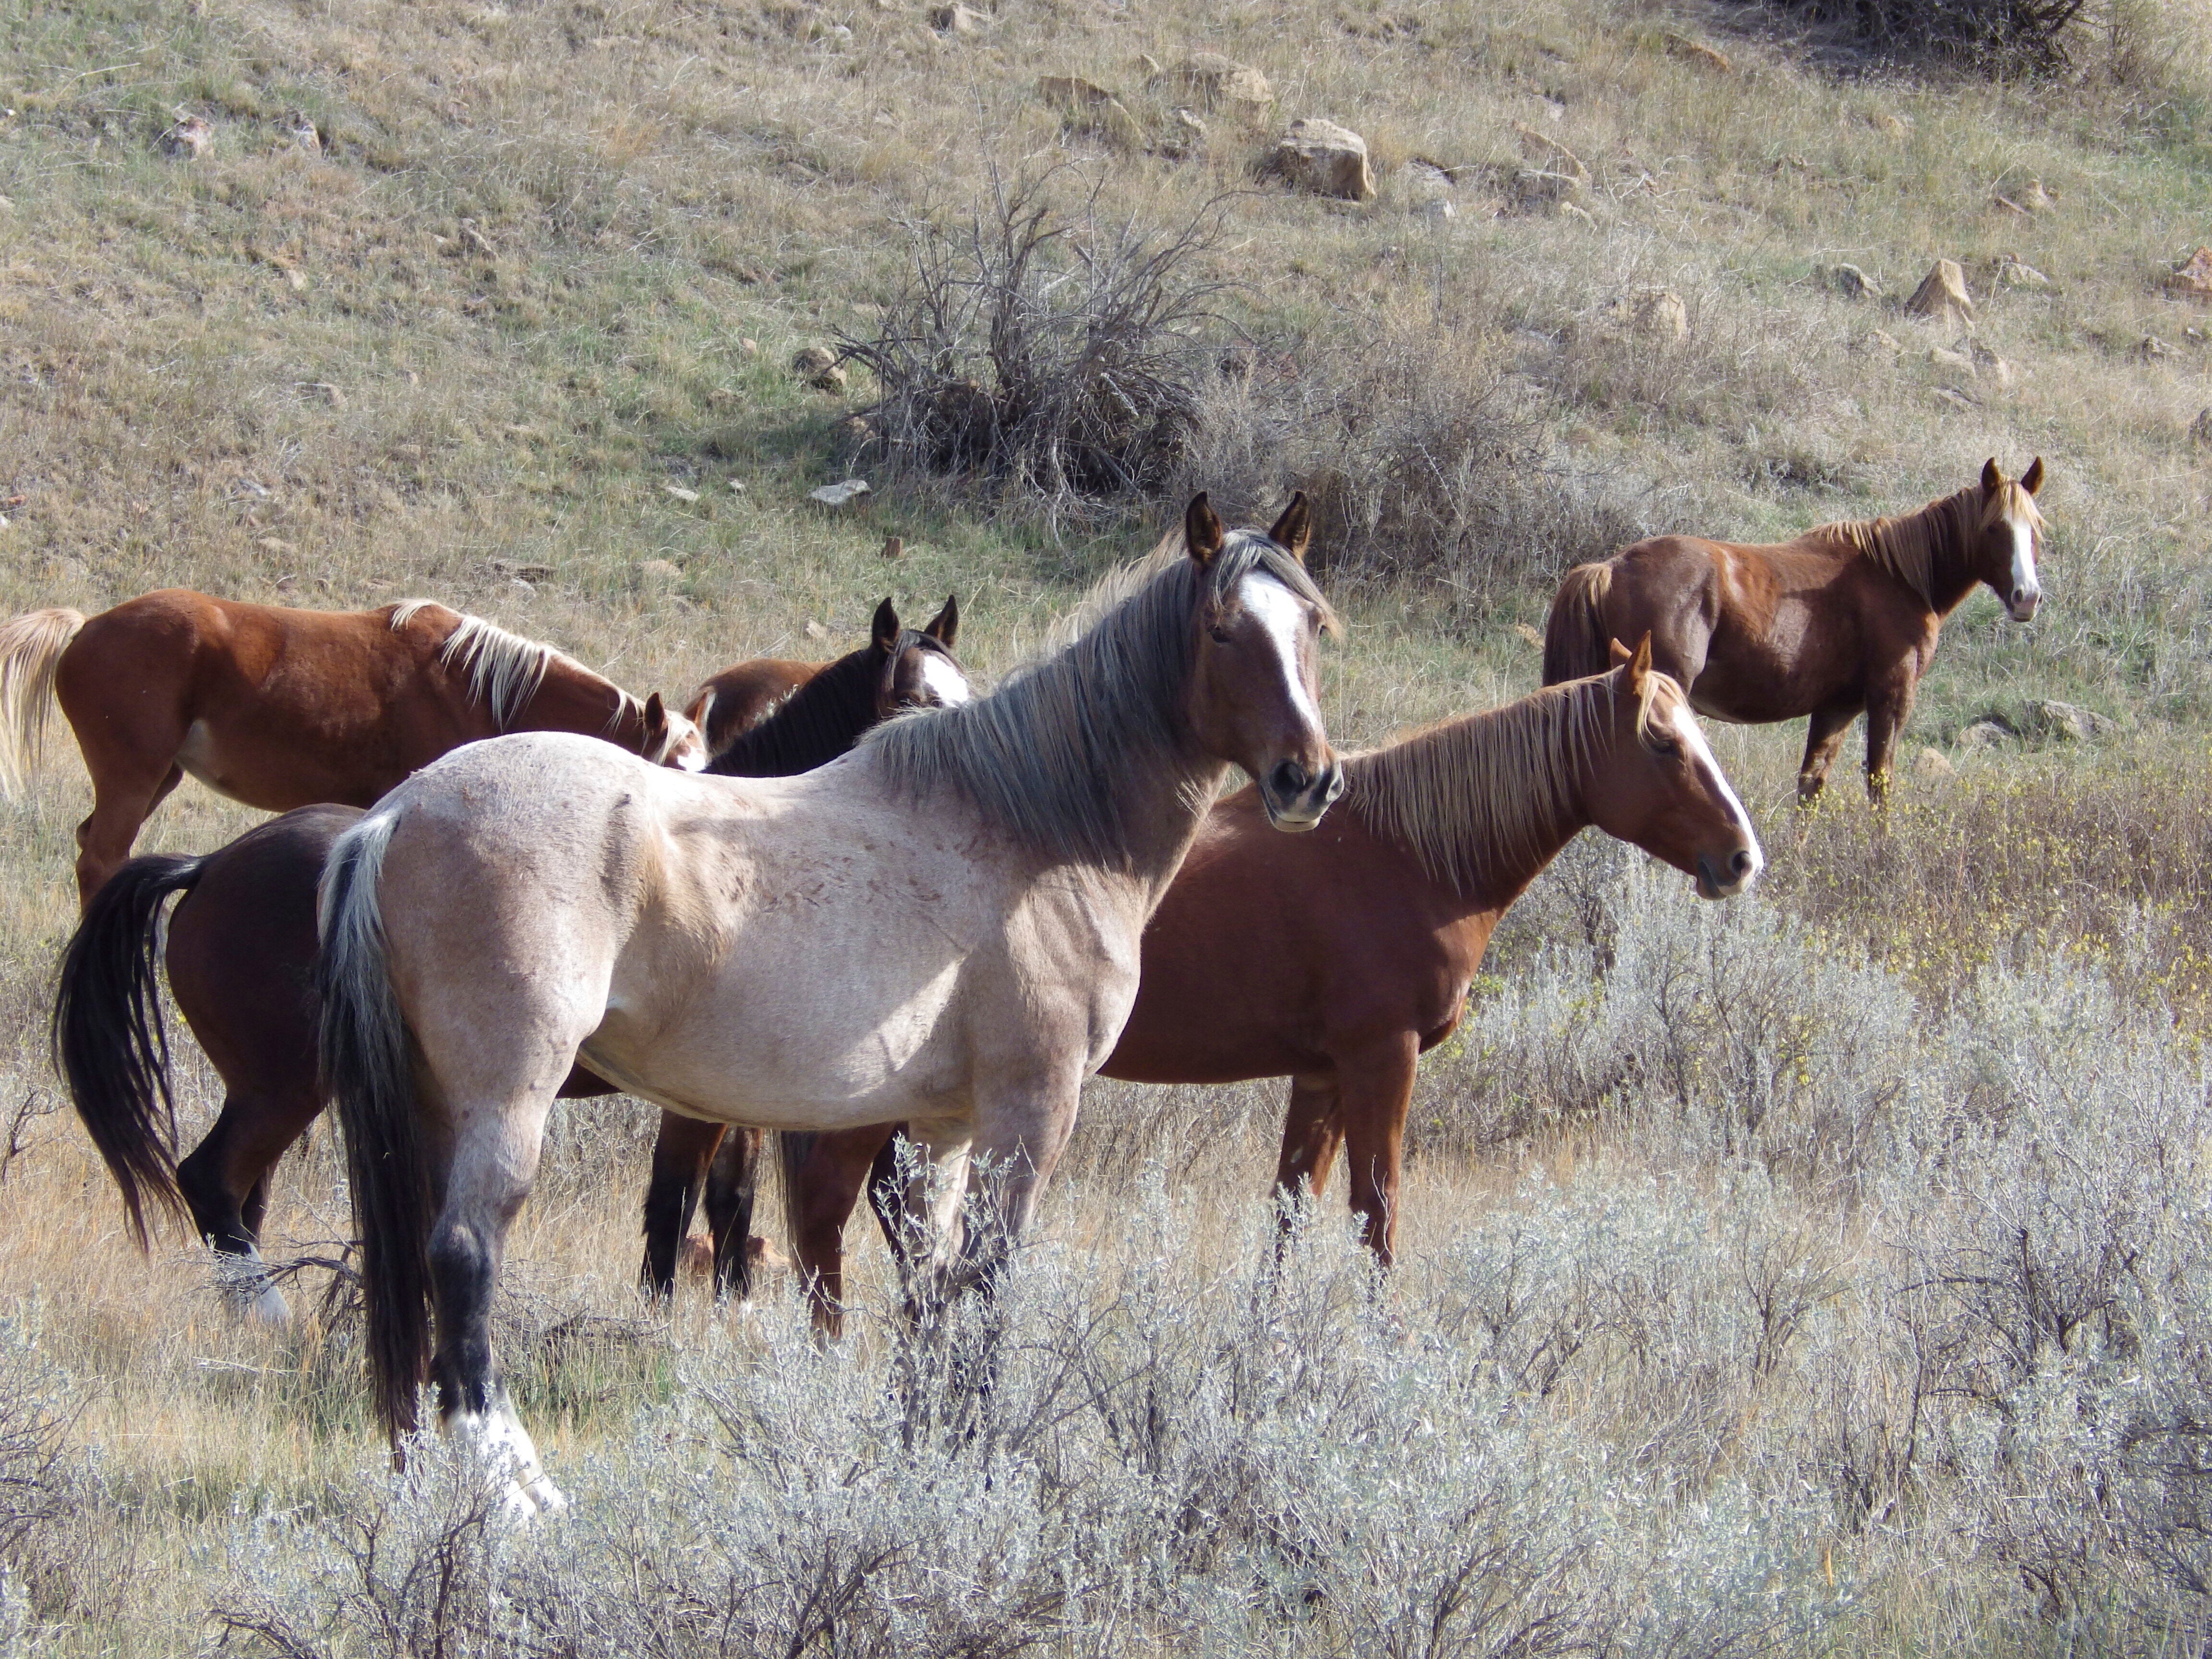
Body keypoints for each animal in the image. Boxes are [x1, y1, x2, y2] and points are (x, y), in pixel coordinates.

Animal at [0, 591, 709, 905]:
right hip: (134, 776)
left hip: (156, 779)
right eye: (668, 773)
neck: (477, 687)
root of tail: (86, 628)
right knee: (101, 858)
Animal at [50, 601, 970, 1323]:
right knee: (210, 1183)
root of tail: (207, 868)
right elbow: (676, 1204)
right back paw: (272, 1316)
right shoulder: (704, 1101)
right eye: (910, 699)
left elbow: (727, 1201)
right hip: (283, 1087)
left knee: (240, 1198)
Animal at [317, 493, 1337, 1509]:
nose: (1309, 778)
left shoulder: (942, 1127)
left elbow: (929, 1286)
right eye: (1221, 629)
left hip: (433, 1104)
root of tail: (397, 813)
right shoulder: (1030, 1110)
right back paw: (518, 1492)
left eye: (1313, 626)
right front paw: (975, 1469)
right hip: (507, 1097)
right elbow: (989, 1283)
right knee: (462, 1254)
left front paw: (924, 1458)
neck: (1036, 828)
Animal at [749, 638, 1764, 1334]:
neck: (1407, 855)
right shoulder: (1381, 1063)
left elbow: (1289, 1214)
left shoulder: (1320, 1075)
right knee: (822, 1214)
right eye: (1662, 744)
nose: (1740, 858)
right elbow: (1376, 1213)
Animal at [1541, 458, 2047, 802]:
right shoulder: (1891, 697)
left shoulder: (1837, 708)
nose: (2027, 597)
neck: (1899, 578)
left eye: (2036, 528)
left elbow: (1812, 786)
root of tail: (1610, 568)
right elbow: (1880, 784)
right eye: (1995, 528)